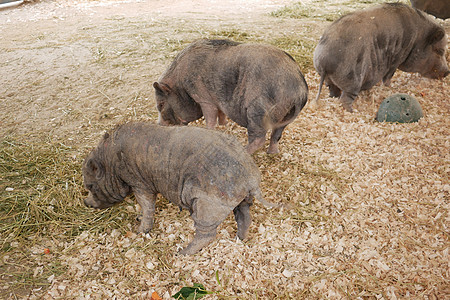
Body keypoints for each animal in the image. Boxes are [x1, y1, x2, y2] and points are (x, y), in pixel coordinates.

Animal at [82, 123, 276, 254]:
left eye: (90, 185)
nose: (85, 202)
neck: (111, 162)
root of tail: (250, 180)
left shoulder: (139, 182)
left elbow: (146, 204)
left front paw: (140, 231)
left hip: (207, 203)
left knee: (207, 233)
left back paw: (182, 252)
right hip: (240, 199)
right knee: (245, 217)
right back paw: (239, 239)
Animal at [153, 38, 308, 154]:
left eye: (160, 104)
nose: (159, 124)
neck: (180, 85)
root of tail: (298, 88)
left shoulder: (204, 97)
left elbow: (210, 117)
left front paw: (208, 130)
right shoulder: (218, 99)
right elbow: (221, 113)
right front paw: (223, 125)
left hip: (257, 112)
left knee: (258, 138)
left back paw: (244, 151)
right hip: (287, 117)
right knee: (277, 135)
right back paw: (272, 153)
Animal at [312, 3, 450, 112]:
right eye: (440, 50)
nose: (447, 72)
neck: (417, 38)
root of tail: (324, 61)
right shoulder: (396, 59)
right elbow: (388, 76)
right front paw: (390, 87)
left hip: (329, 80)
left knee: (333, 91)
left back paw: (334, 98)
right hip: (351, 79)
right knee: (344, 99)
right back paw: (352, 111)